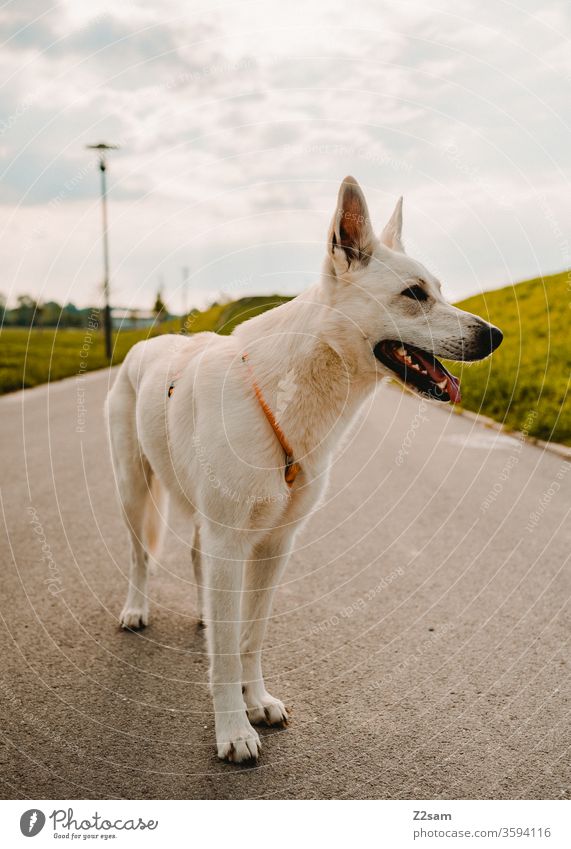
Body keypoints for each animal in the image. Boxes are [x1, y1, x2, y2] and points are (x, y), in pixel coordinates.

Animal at [105, 177, 502, 760]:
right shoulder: (233, 540)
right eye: (414, 295)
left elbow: (248, 639)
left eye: (439, 291)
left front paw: (256, 702)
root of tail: (146, 343)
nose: (495, 336)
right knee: (139, 558)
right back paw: (136, 609)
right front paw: (233, 730)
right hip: (134, 492)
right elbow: (227, 655)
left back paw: (205, 615)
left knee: (201, 567)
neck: (285, 391)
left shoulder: (275, 544)